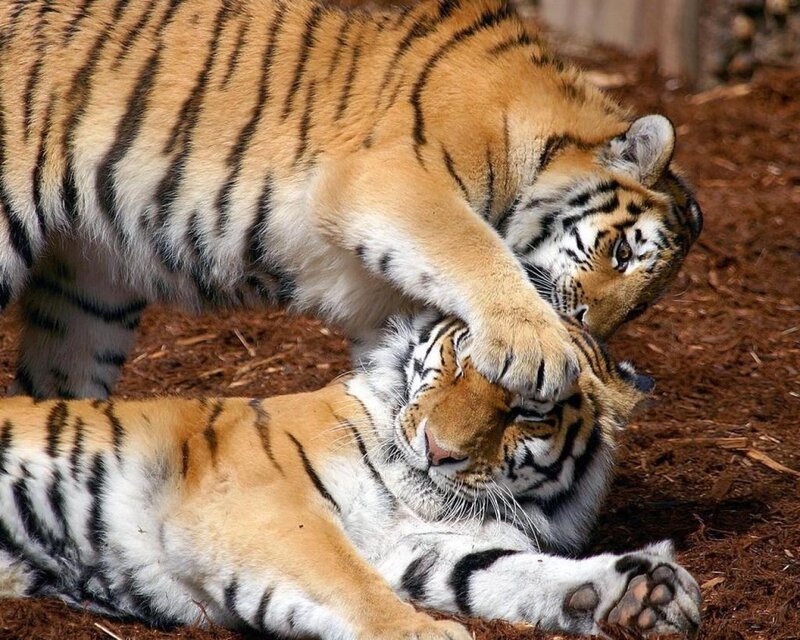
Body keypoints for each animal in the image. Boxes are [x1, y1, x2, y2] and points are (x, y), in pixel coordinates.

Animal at [0, 0, 702, 402]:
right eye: (619, 251)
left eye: (643, 306)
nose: (586, 325)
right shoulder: (391, 181)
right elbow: (476, 250)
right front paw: (539, 349)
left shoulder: (390, 307)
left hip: (91, 287)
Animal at [0, 312, 702, 638]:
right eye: (457, 361)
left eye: (529, 410)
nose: (437, 449)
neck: (412, 501)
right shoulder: (263, 504)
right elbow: (350, 582)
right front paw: (426, 632)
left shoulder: (418, 551)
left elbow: (502, 573)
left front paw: (644, 592)